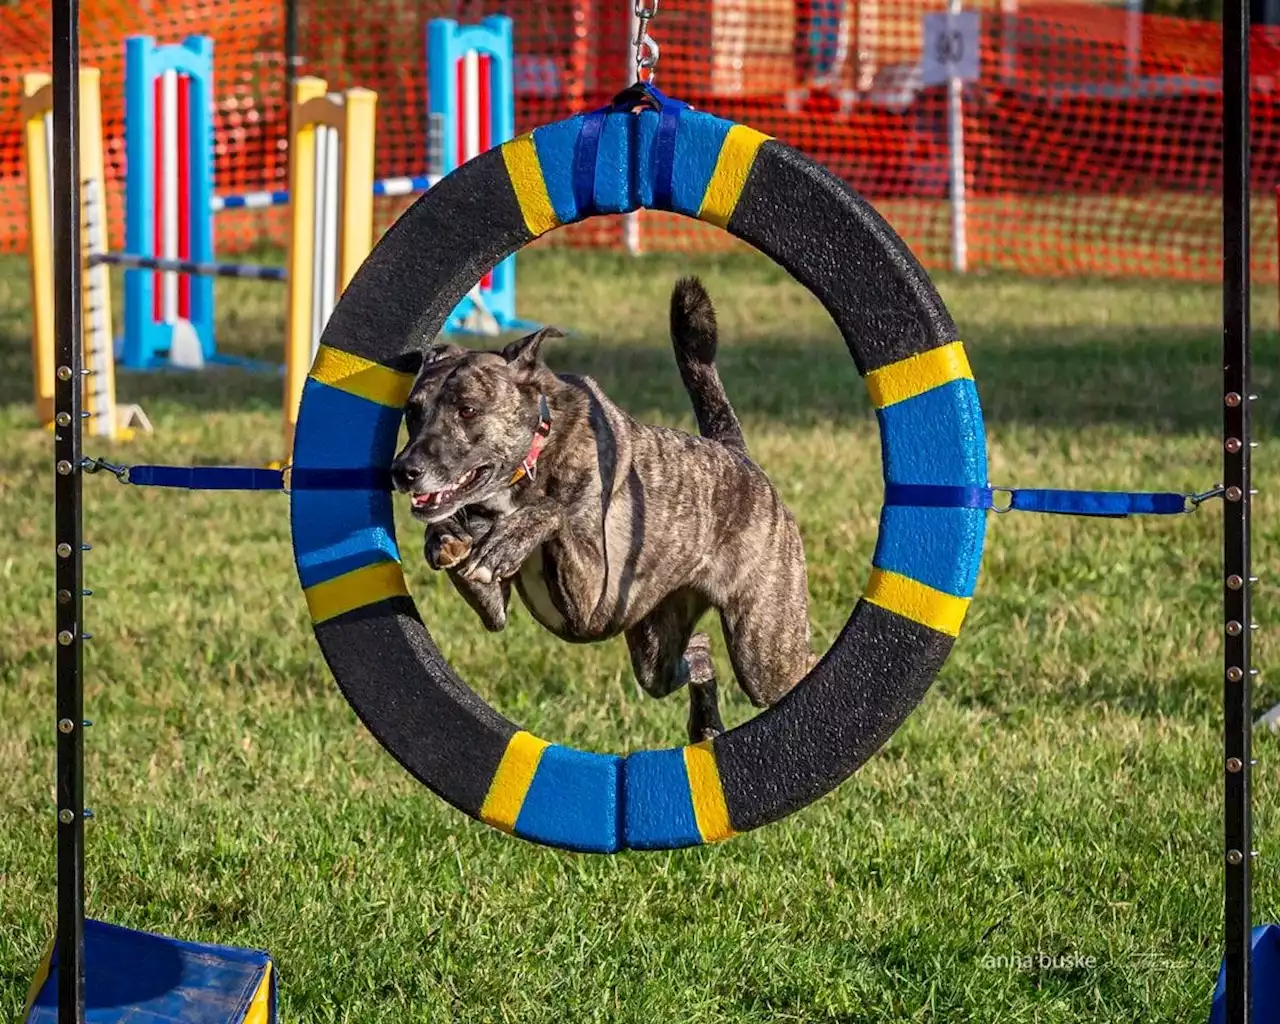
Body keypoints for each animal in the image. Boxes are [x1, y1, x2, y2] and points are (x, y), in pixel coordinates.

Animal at [389, 280, 808, 742]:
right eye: (412, 411)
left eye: (468, 410)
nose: (403, 472)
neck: (535, 452)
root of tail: (737, 455)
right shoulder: (494, 608)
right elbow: (474, 571)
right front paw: (446, 538)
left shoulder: (592, 597)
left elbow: (551, 510)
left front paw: (509, 537)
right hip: (657, 647)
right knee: (697, 654)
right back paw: (706, 723)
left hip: (764, 653)